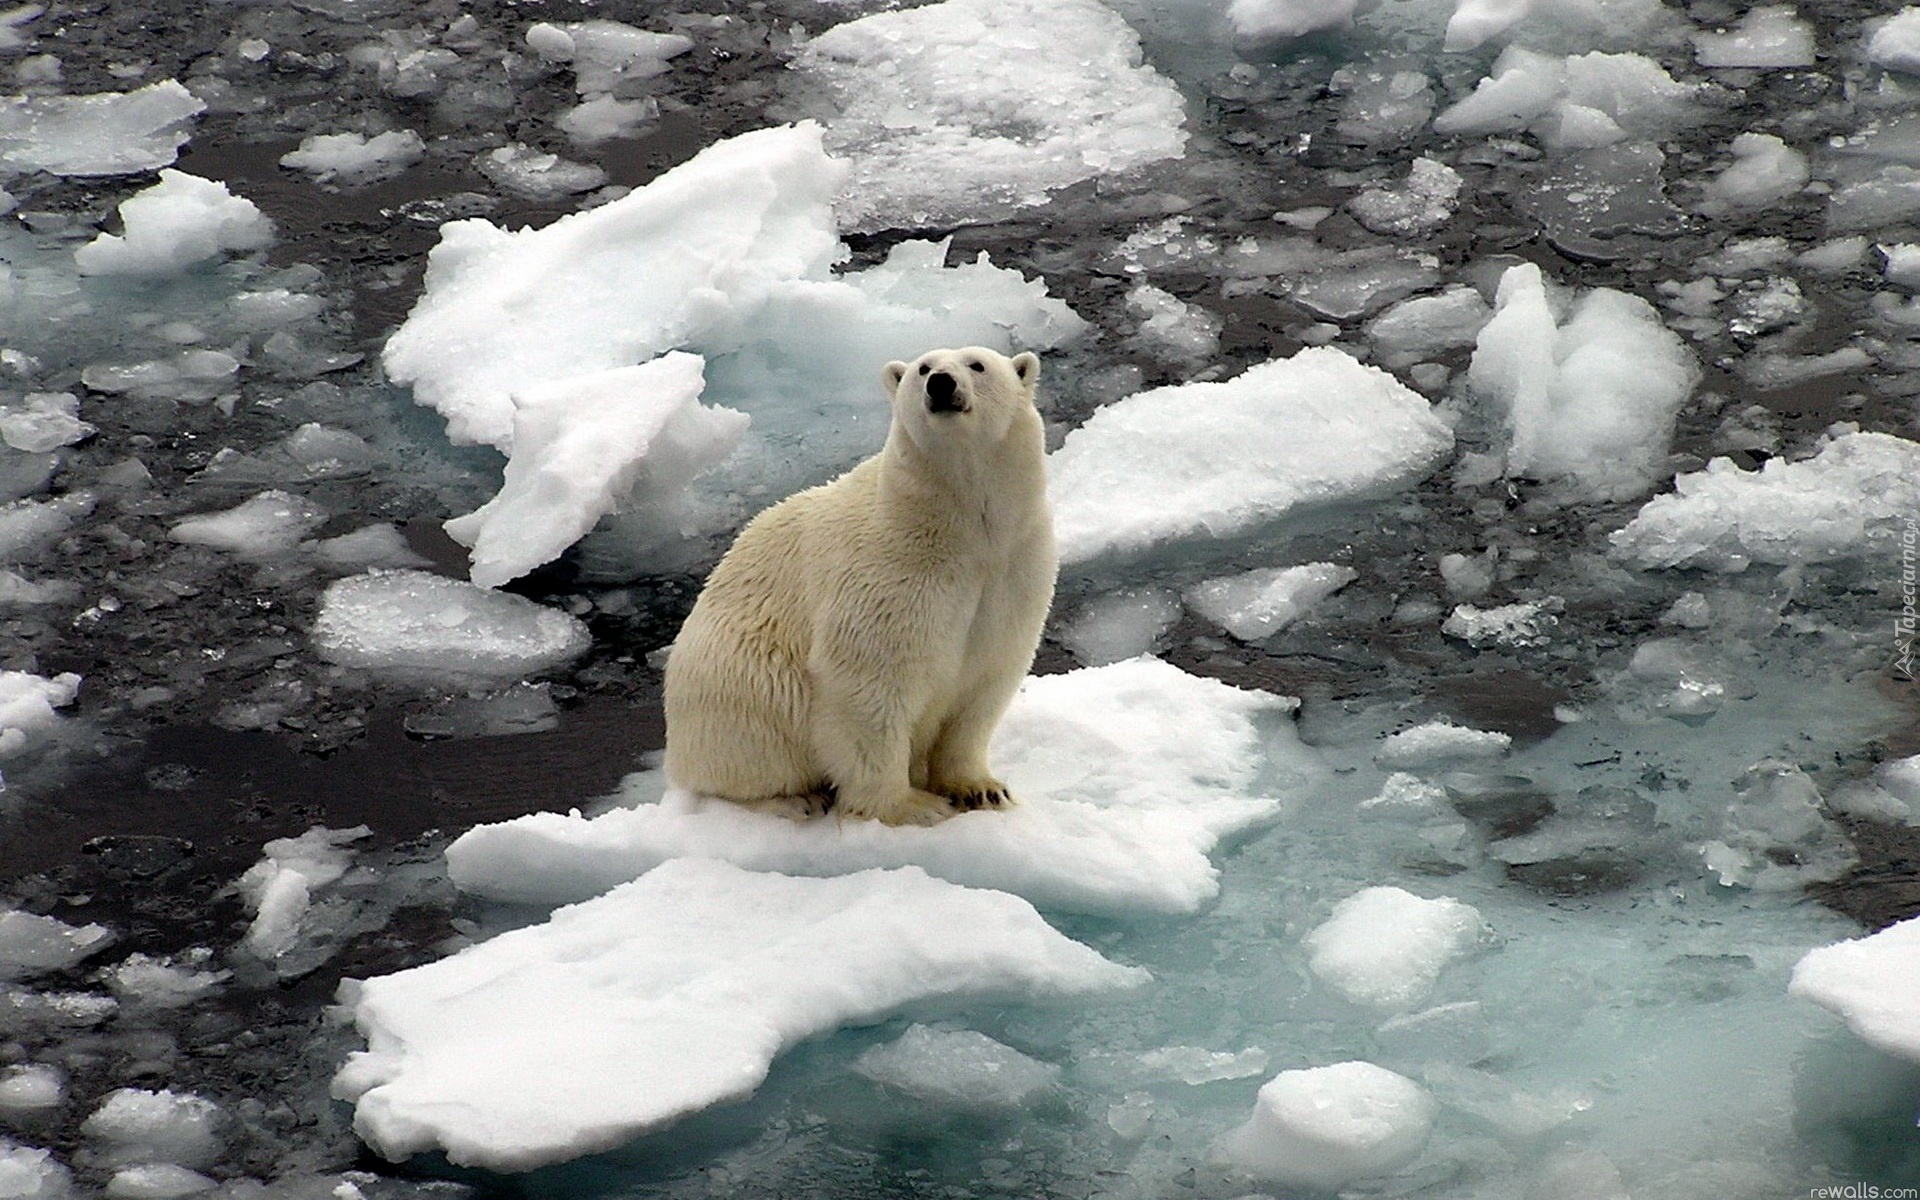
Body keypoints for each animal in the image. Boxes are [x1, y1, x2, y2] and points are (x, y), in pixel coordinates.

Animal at [656, 345, 1052, 821]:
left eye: (977, 364)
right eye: (922, 368)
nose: (940, 383)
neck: (962, 532)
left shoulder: (1012, 571)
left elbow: (984, 683)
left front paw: (981, 789)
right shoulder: (889, 574)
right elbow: (870, 685)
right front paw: (910, 806)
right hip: (733, 681)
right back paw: (795, 798)